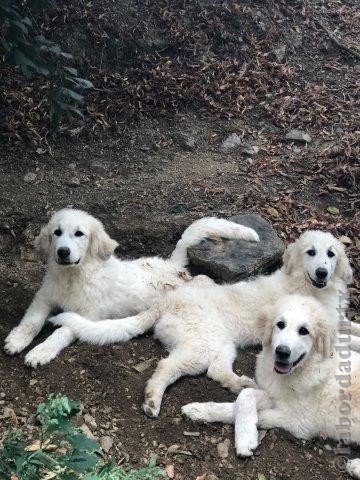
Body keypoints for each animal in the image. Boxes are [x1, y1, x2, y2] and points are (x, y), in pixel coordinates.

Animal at [4, 207, 258, 368]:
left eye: (79, 234)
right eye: (57, 232)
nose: (63, 252)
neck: (73, 276)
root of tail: (171, 265)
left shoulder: (89, 314)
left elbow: (61, 332)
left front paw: (41, 351)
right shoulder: (44, 297)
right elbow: (31, 321)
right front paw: (16, 340)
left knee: (203, 279)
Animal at [52, 229, 356, 416]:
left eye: (331, 254)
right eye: (310, 252)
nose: (322, 272)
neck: (308, 284)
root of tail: (166, 301)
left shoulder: (336, 322)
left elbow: (353, 327)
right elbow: (352, 337)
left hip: (221, 342)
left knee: (215, 371)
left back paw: (241, 385)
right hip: (201, 345)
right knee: (168, 366)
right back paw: (152, 399)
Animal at [183, 294, 360, 478]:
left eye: (304, 331)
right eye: (280, 324)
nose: (282, 352)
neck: (302, 369)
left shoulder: (300, 423)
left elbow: (257, 415)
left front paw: (246, 438)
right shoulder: (273, 393)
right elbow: (244, 395)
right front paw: (199, 410)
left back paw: (355, 466)